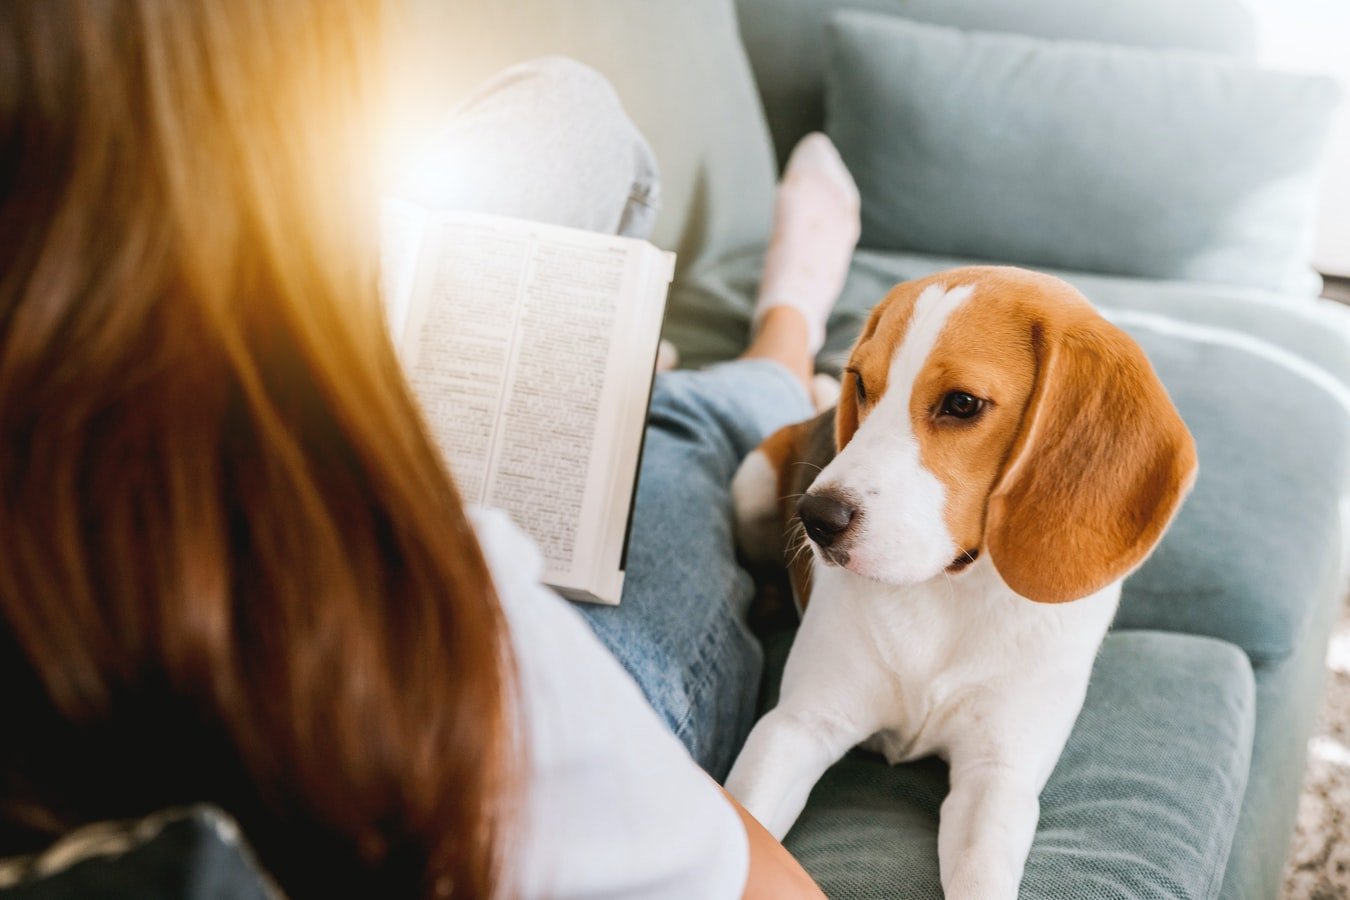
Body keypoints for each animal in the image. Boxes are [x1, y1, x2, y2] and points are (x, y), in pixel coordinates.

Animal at [723, 267, 1198, 900]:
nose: (815, 518)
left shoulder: (996, 779)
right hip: (751, 482)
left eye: (962, 404)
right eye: (861, 384)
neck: (951, 590)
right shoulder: (796, 726)